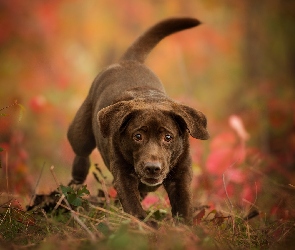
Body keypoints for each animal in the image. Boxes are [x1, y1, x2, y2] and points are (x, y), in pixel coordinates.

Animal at [67, 17, 210, 225]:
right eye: (138, 136)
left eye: (168, 137)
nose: (152, 168)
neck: (150, 99)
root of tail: (129, 60)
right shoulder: (123, 173)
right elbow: (132, 202)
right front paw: (144, 223)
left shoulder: (181, 174)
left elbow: (183, 202)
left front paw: (184, 226)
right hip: (81, 134)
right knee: (81, 152)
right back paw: (76, 181)